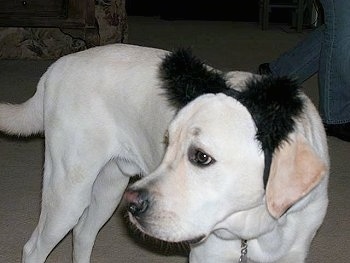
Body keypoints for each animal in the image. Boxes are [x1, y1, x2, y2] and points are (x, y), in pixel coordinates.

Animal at [0, 44, 328, 262]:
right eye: (168, 143)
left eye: (201, 157)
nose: (133, 203)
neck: (255, 229)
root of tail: (57, 66)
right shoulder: (208, 256)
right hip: (69, 192)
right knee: (34, 248)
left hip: (109, 188)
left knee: (82, 234)